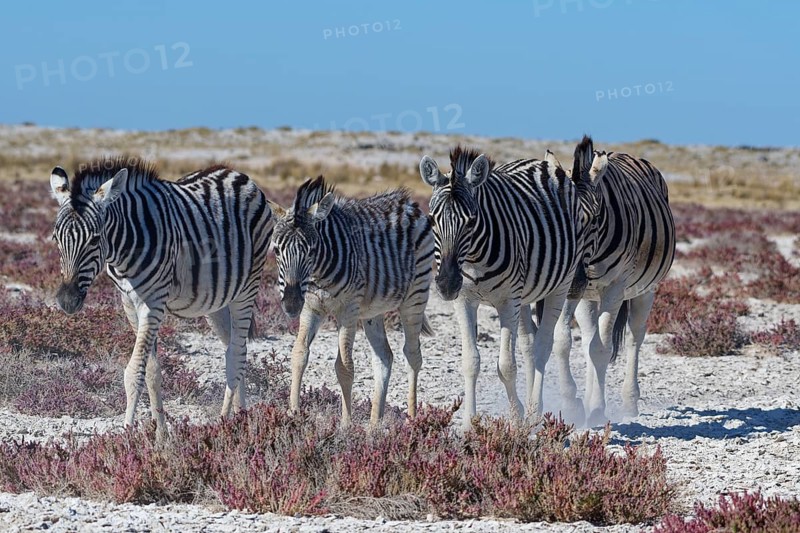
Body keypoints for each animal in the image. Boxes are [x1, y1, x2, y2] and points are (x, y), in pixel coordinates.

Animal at [49, 156, 274, 433]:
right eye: (56, 238)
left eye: (94, 239)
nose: (67, 301)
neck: (125, 247)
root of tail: (237, 174)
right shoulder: (129, 303)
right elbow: (152, 371)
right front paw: (161, 435)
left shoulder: (152, 303)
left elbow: (134, 372)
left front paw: (127, 434)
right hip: (218, 301)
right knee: (233, 346)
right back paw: (241, 416)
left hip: (247, 288)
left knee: (236, 355)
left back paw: (226, 423)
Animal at [268, 176, 434, 427]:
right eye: (277, 251)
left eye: (311, 251)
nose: (290, 304)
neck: (319, 274)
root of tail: (408, 203)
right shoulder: (311, 307)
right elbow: (299, 355)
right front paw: (292, 415)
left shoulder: (348, 309)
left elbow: (344, 366)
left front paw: (346, 425)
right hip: (373, 312)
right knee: (384, 357)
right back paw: (374, 426)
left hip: (416, 296)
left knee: (413, 355)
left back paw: (412, 422)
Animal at [419, 146, 584, 428]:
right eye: (431, 220)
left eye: (471, 221)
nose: (446, 285)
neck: (474, 259)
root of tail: (537, 162)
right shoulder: (464, 300)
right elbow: (470, 362)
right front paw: (469, 424)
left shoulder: (508, 301)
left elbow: (506, 366)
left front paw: (516, 418)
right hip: (526, 295)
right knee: (529, 346)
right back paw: (533, 407)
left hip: (560, 285)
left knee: (542, 346)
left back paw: (533, 411)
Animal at [547, 136, 676, 426]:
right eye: (560, 221)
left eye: (595, 218)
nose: (574, 281)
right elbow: (563, 340)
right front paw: (572, 404)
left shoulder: (615, 289)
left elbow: (602, 349)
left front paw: (596, 409)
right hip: (588, 298)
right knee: (589, 339)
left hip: (644, 290)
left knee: (634, 336)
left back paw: (629, 402)